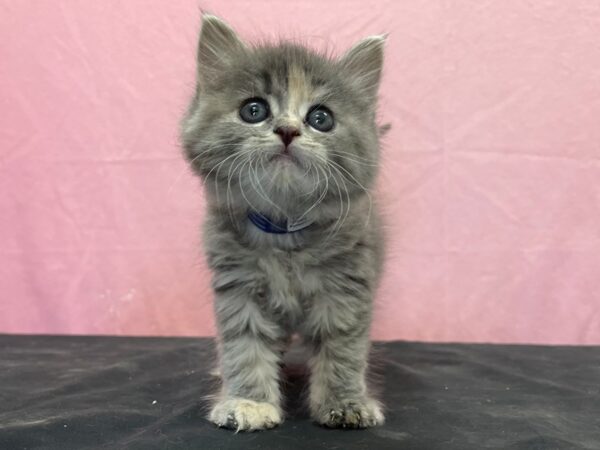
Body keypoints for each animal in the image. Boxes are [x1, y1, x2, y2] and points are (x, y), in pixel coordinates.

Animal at [182, 14, 384, 432]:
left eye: (321, 118)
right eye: (254, 110)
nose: (288, 130)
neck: (284, 229)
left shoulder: (346, 287)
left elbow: (343, 348)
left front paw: (345, 403)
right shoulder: (238, 286)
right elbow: (245, 346)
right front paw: (248, 402)